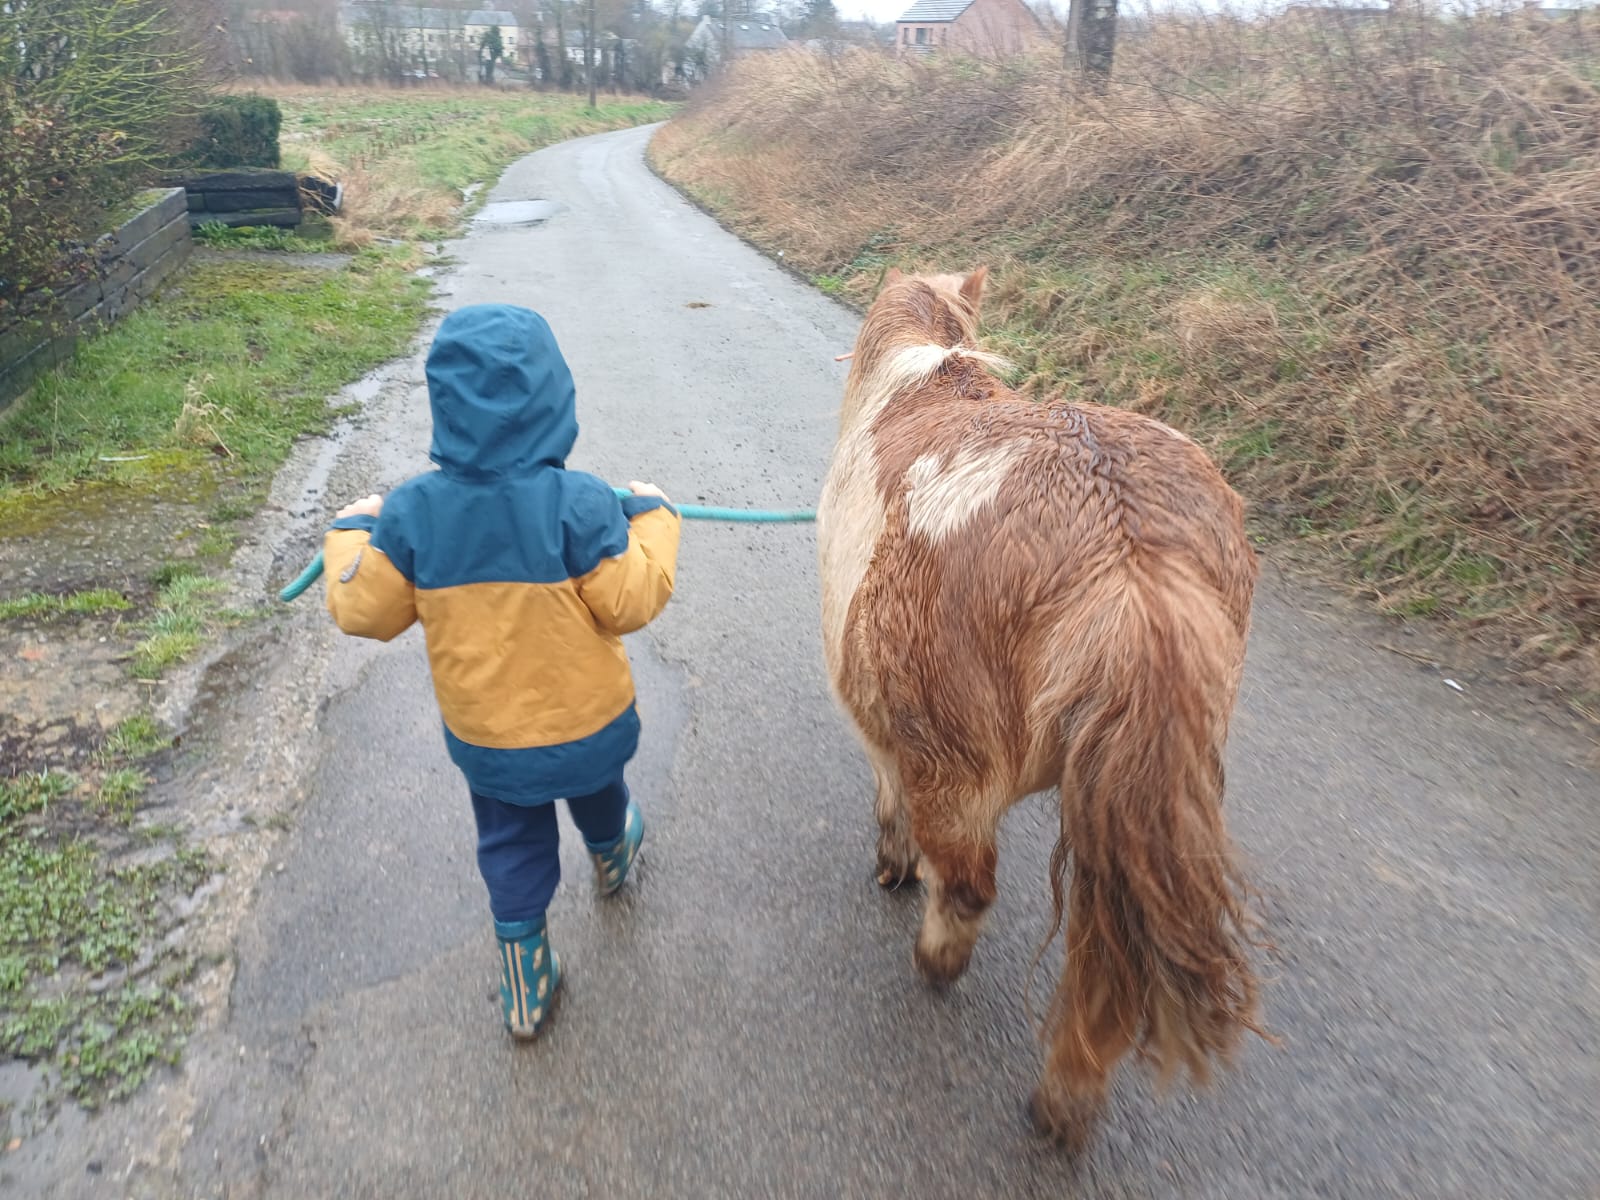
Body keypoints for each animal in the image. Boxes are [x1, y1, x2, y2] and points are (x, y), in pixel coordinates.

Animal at [815, 266, 1266, 1151]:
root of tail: (1126, 557)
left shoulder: (882, 722)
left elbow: (888, 797)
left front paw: (893, 864)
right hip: (1126, 810)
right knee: (1106, 952)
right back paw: (1067, 1099)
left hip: (954, 765)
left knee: (969, 887)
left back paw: (938, 962)